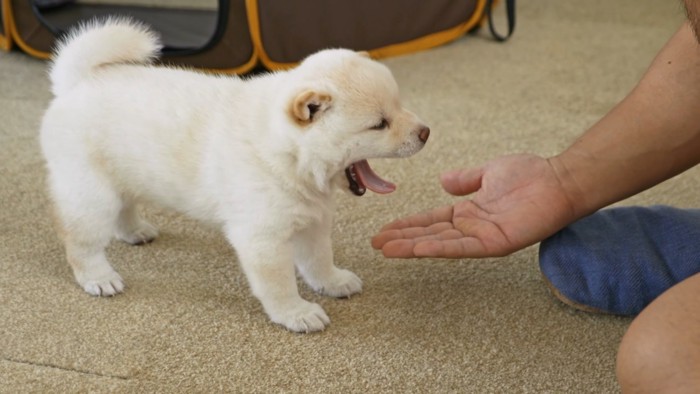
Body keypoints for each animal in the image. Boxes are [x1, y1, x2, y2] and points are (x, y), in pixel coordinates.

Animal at [42, 18, 432, 332]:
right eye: (379, 124)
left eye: (400, 106)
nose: (425, 132)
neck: (289, 158)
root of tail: (77, 82)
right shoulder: (263, 238)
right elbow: (279, 283)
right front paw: (297, 314)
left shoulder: (313, 221)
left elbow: (319, 259)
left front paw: (333, 282)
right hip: (91, 194)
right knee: (81, 242)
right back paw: (99, 278)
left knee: (124, 207)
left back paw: (135, 231)